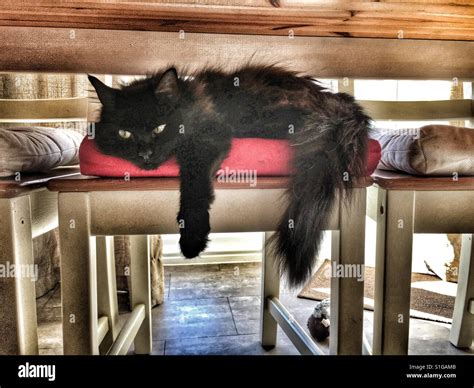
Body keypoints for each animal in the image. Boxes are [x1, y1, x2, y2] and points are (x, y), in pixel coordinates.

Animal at [89, 65, 370, 286]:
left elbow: (193, 186)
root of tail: (332, 98)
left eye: (159, 128)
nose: (146, 153)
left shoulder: (207, 138)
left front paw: (192, 238)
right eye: (125, 133)